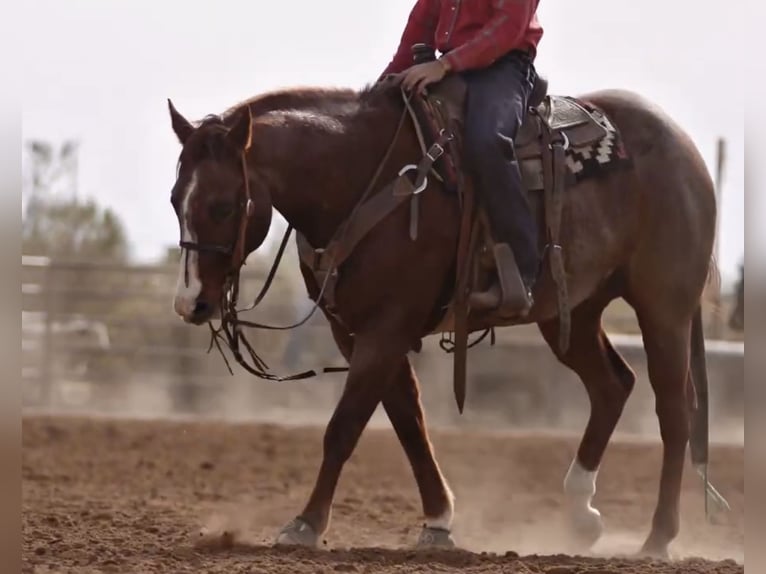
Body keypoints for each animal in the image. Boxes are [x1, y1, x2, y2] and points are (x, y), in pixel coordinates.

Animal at [165, 69, 724, 558]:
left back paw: (658, 537)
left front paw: (305, 524)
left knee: (675, 411)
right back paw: (581, 516)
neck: (361, 177)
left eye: (222, 205)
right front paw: (438, 522)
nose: (191, 303)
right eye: (175, 200)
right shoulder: (357, 331)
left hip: (664, 308)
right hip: (575, 312)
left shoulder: (387, 328)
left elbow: (345, 427)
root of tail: (685, 148)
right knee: (612, 386)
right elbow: (409, 423)